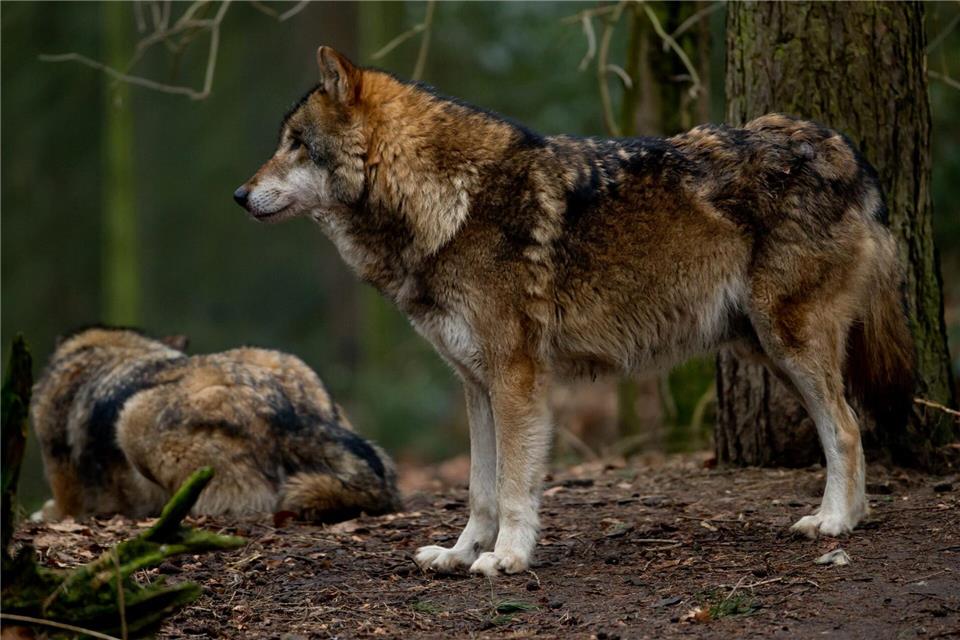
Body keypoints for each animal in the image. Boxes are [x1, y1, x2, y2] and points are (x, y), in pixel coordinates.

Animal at [234, 47, 915, 576]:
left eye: (296, 144)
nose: (239, 195)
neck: (446, 204)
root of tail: (846, 150)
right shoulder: (475, 383)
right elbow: (479, 489)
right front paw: (459, 555)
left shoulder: (517, 379)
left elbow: (513, 485)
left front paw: (507, 558)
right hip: (767, 350)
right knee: (847, 427)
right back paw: (849, 516)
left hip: (787, 342)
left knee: (847, 428)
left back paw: (833, 523)